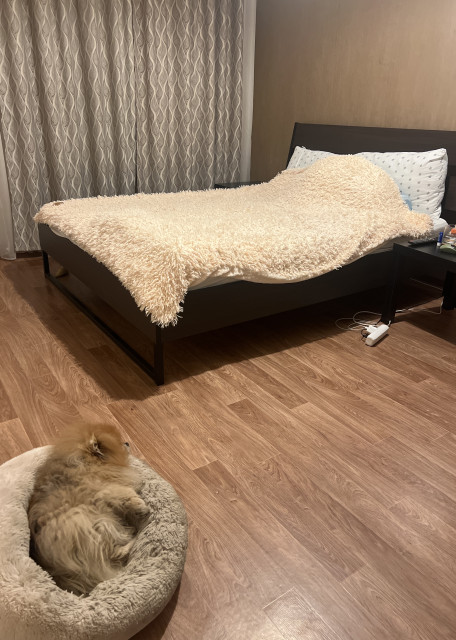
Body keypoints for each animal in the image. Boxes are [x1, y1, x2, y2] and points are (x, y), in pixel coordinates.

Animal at [28, 423, 150, 595]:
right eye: (119, 444)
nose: (127, 442)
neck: (86, 461)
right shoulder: (106, 490)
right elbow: (125, 493)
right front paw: (140, 505)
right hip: (92, 522)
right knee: (115, 553)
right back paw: (132, 540)